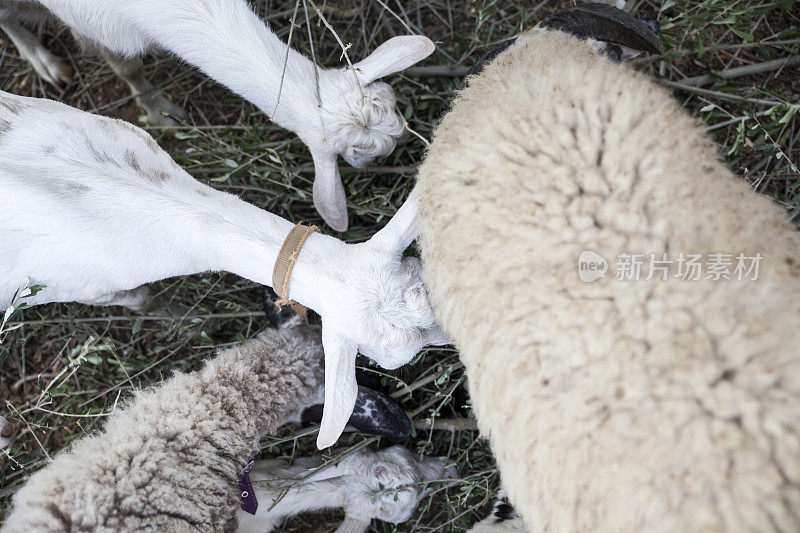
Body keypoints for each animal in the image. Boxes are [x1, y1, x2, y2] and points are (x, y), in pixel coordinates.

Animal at [0, 0, 434, 230]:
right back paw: (42, 60)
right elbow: (128, 69)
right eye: (364, 160)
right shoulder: (96, 26)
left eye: (392, 99)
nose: (409, 139)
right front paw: (160, 114)